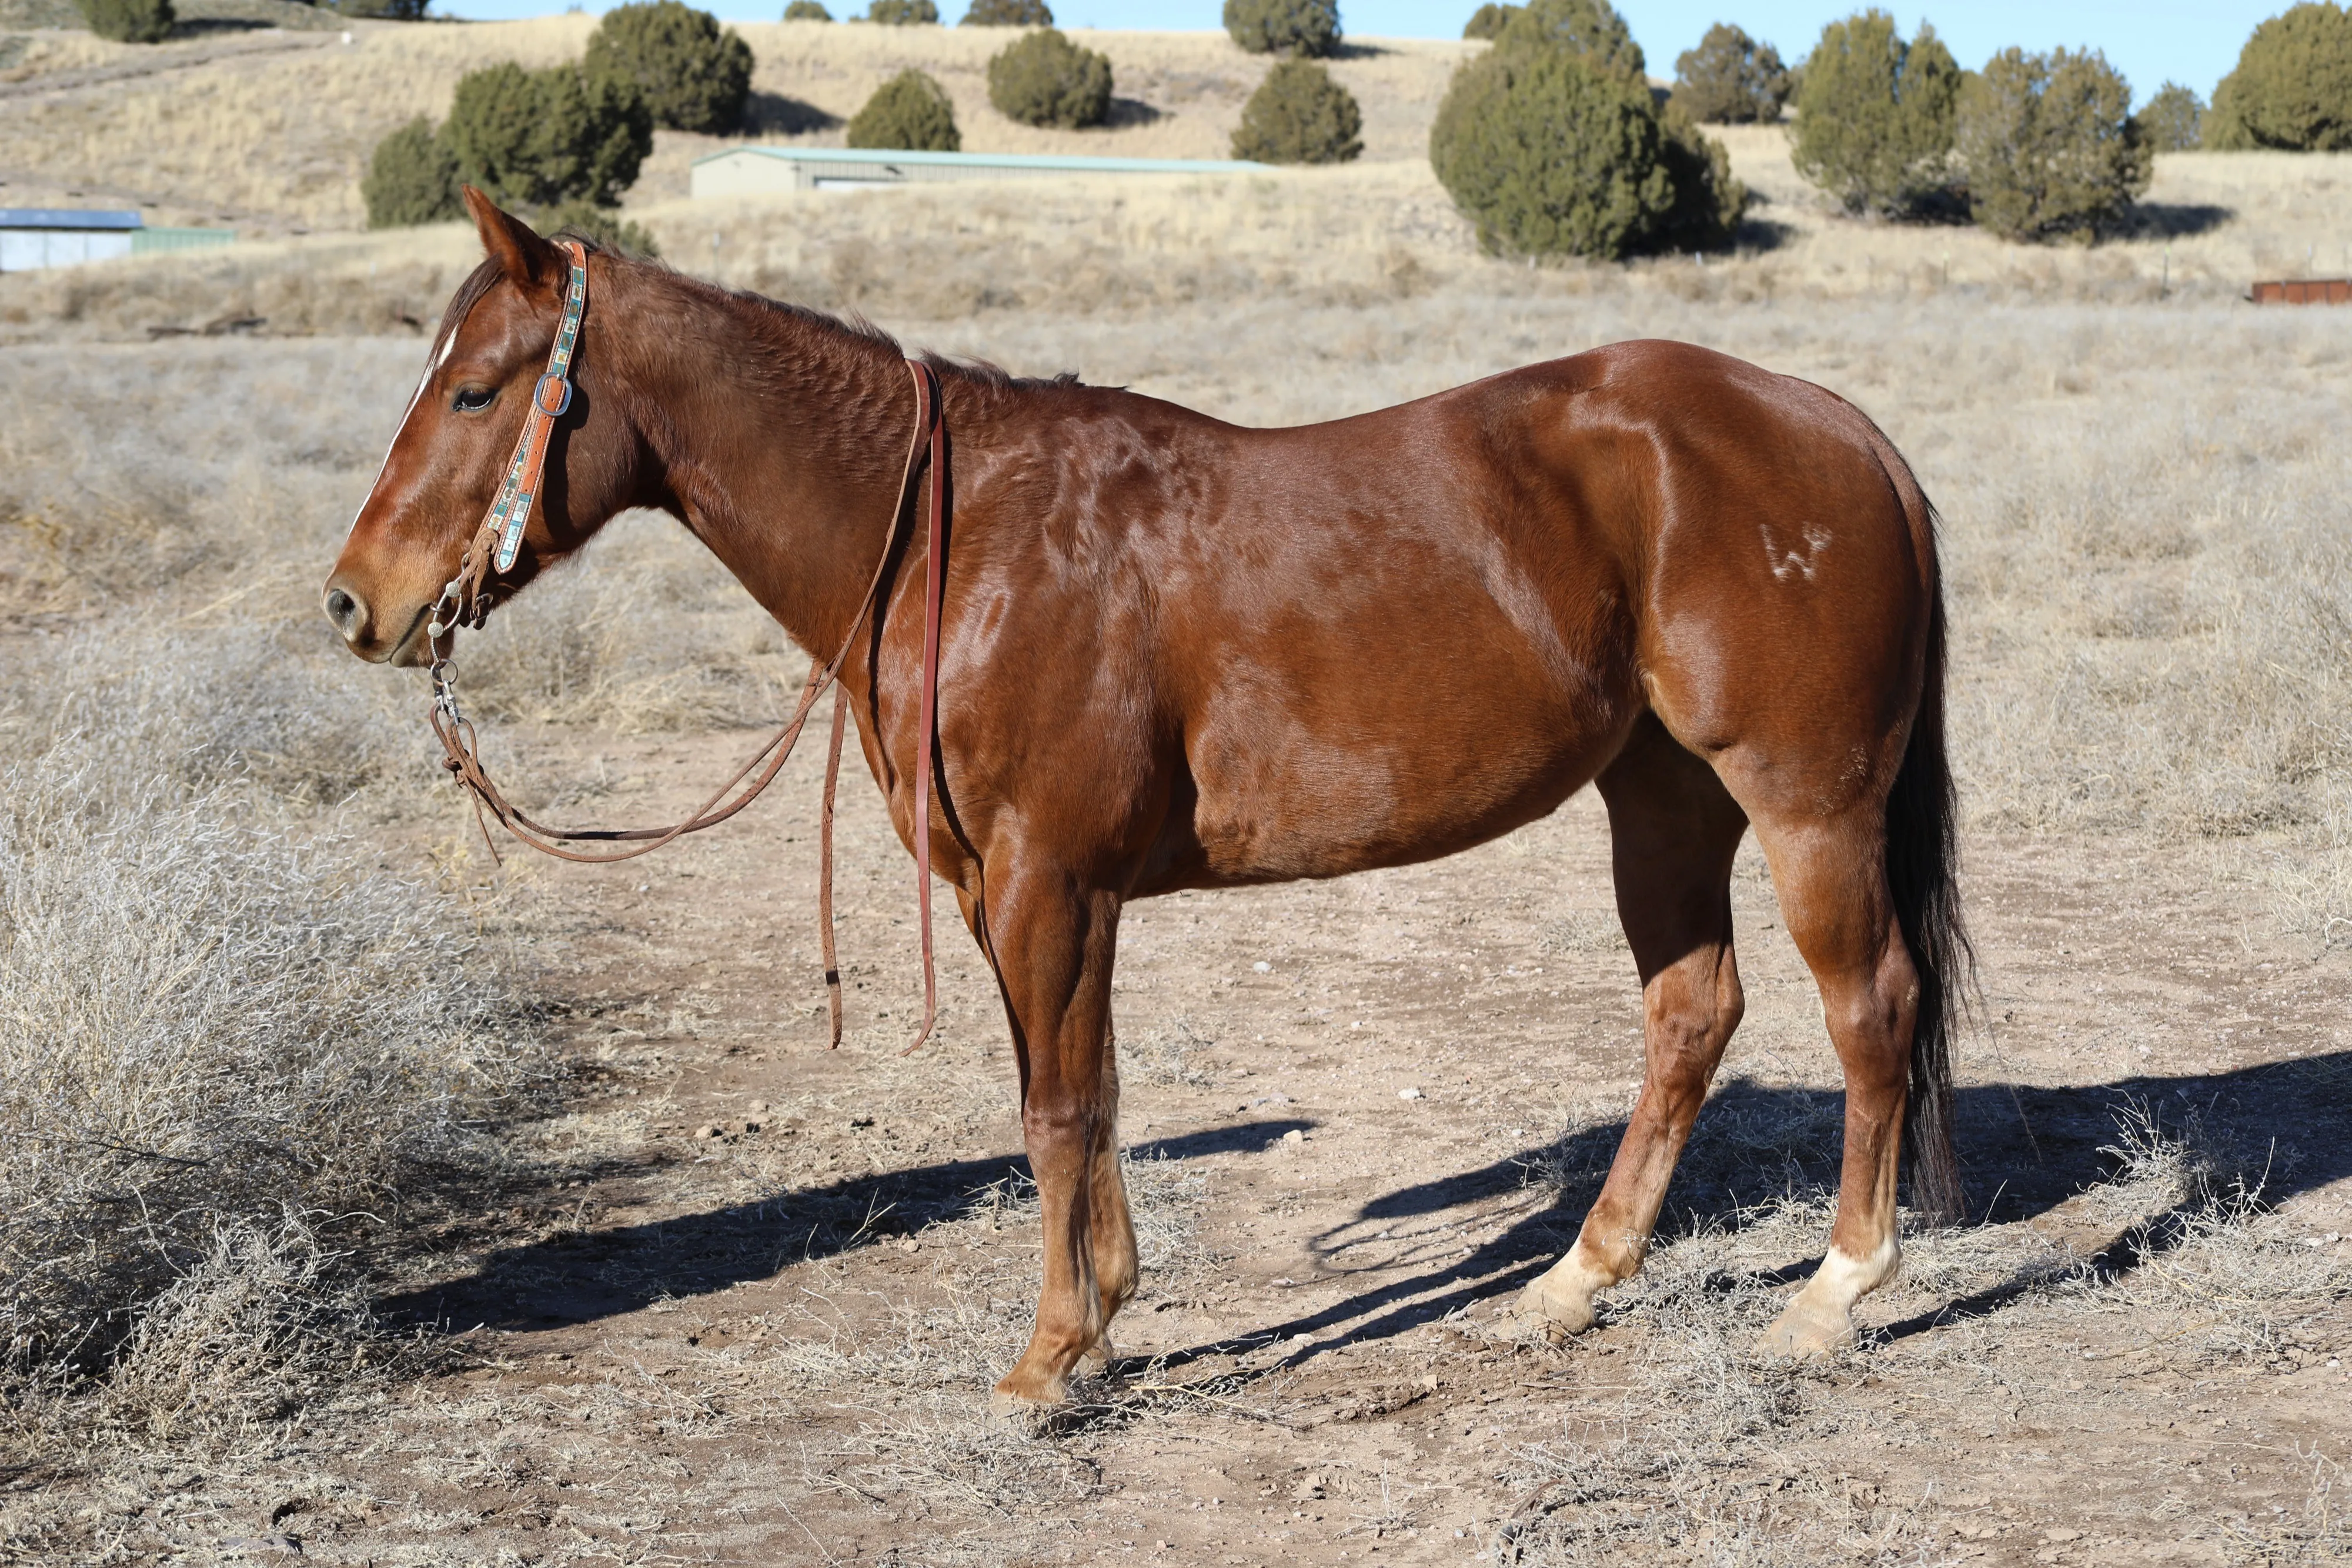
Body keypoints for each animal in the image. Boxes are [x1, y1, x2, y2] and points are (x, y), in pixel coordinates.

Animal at [324, 190, 1968, 1407]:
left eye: (474, 388)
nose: (354, 604)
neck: (963, 539)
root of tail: (1843, 433)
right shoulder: (1014, 893)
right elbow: (1085, 1096)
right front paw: (1102, 1318)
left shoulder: (1049, 880)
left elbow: (1055, 1111)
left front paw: (1050, 1358)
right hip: (1663, 799)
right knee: (1691, 1012)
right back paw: (1572, 1284)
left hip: (1805, 806)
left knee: (1867, 1008)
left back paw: (1834, 1293)